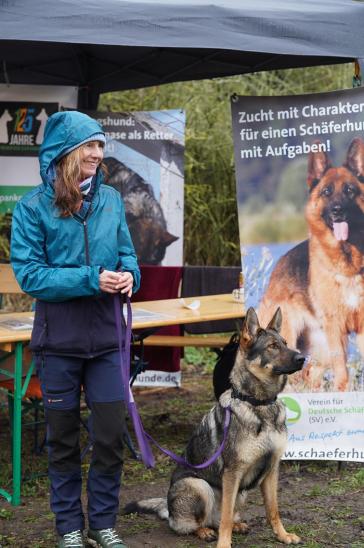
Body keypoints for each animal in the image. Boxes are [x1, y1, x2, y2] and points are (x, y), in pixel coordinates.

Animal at [124, 308, 304, 548]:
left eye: (285, 343)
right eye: (272, 346)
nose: (303, 358)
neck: (259, 404)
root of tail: (169, 510)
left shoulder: (271, 470)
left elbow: (273, 510)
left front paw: (282, 535)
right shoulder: (232, 473)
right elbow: (226, 515)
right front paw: (224, 544)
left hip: (241, 492)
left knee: (220, 519)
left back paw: (236, 526)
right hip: (199, 485)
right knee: (194, 524)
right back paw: (204, 531)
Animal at [258, 139, 364, 392]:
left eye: (350, 190)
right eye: (327, 192)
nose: (337, 211)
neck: (348, 263)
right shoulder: (336, 327)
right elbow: (342, 369)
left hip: (320, 349)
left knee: (309, 373)